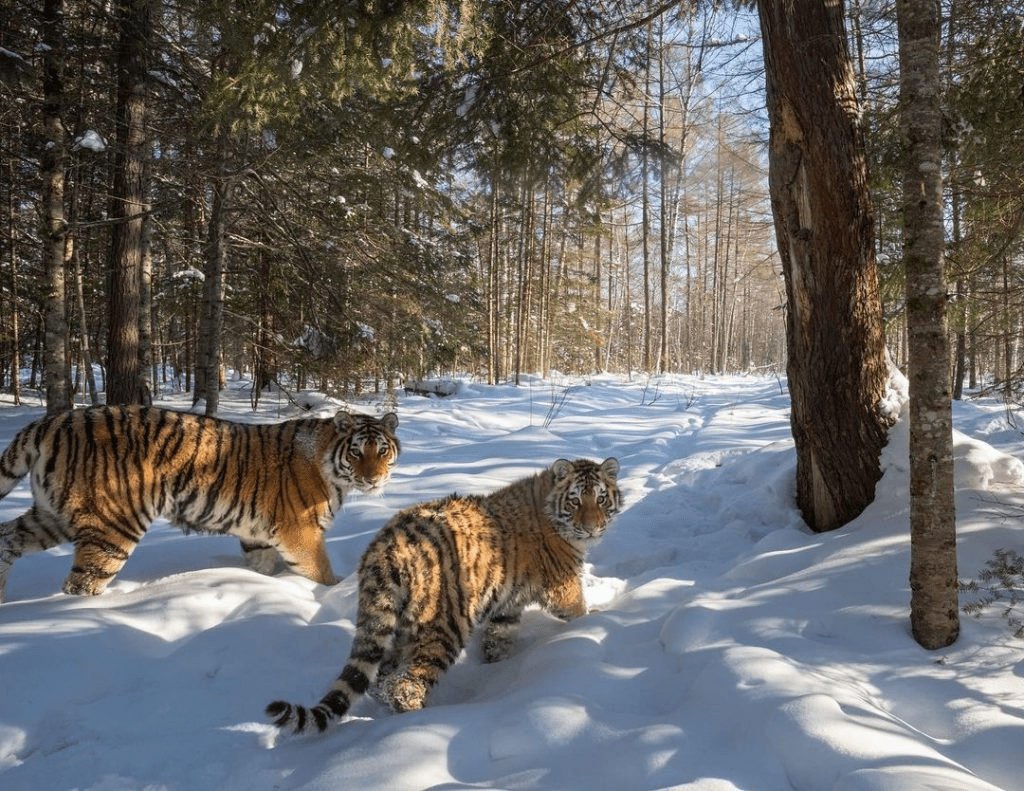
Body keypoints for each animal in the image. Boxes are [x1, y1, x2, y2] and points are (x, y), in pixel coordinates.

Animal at [0, 405, 400, 603]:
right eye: (357, 452)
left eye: (382, 451)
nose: (373, 479)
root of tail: (50, 422)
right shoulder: (300, 532)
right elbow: (322, 573)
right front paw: (334, 592)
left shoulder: (258, 535)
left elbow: (262, 568)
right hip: (111, 527)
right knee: (81, 583)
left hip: (51, 515)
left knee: (7, 538)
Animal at [266, 456, 621, 734]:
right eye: (576, 501)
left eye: (601, 499)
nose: (592, 528)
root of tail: (385, 546)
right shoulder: (563, 585)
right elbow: (577, 609)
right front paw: (600, 621)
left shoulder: (507, 606)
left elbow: (500, 638)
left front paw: (498, 666)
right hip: (444, 623)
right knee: (406, 682)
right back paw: (417, 721)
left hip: (394, 624)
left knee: (383, 677)